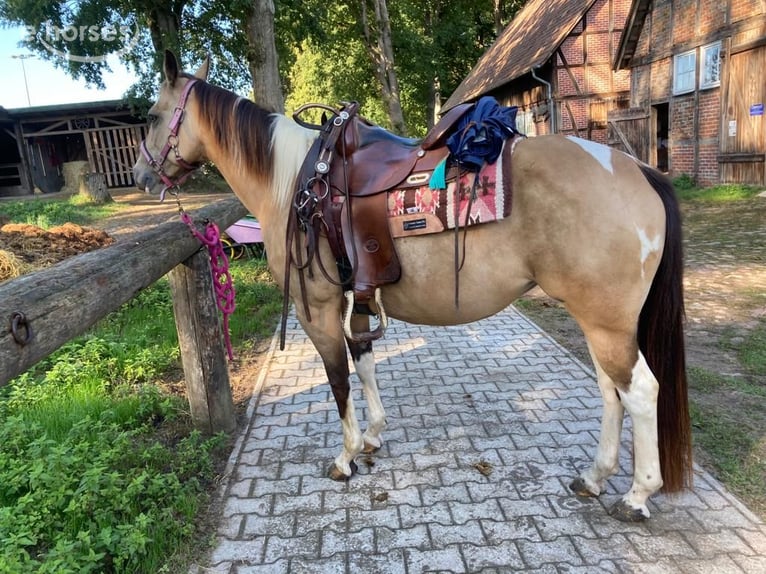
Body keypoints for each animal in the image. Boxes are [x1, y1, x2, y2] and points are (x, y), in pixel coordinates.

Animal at [133, 51, 692, 522]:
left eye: (155, 116)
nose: (141, 175)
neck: (294, 183)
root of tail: (636, 169)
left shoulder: (317, 309)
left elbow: (338, 380)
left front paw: (345, 456)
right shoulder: (355, 298)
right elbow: (365, 362)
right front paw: (374, 437)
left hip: (607, 323)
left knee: (640, 392)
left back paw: (637, 495)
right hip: (596, 319)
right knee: (609, 391)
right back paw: (594, 477)